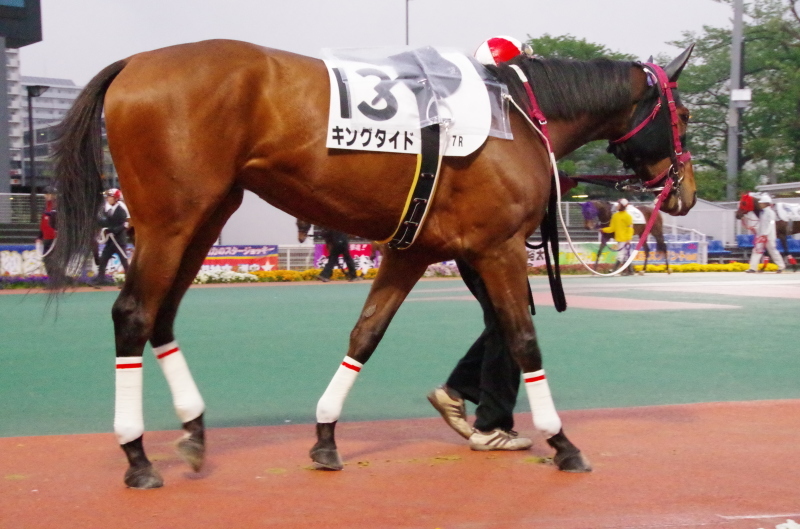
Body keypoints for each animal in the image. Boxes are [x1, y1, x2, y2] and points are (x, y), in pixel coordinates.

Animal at [48, 40, 692, 486]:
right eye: (682, 113)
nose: (682, 192)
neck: (516, 116)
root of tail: (133, 63)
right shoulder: (500, 248)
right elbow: (522, 338)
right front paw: (562, 443)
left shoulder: (414, 250)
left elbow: (367, 333)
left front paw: (326, 434)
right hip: (170, 221)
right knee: (133, 314)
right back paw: (136, 454)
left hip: (204, 219)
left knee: (162, 316)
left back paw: (193, 429)